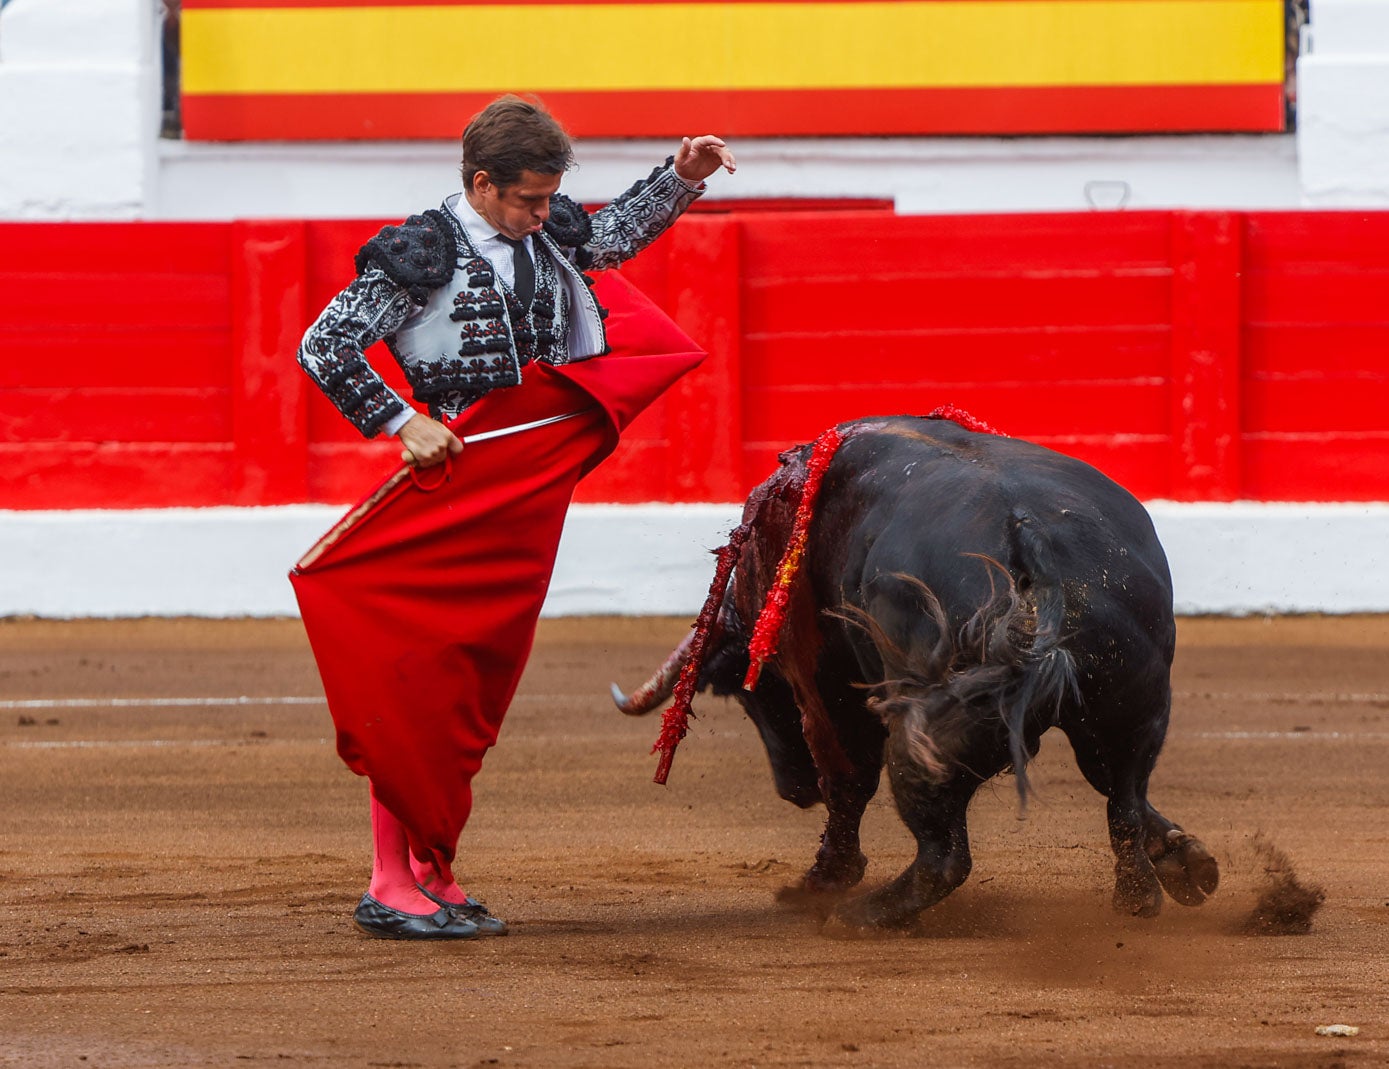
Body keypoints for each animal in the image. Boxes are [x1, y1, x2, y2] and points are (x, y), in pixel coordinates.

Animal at [619, 410, 1216, 927]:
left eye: (754, 690)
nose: (794, 790)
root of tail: (1029, 540)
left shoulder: (819, 683)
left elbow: (847, 778)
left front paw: (824, 880)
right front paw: (1186, 859)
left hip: (921, 730)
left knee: (944, 855)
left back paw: (859, 915)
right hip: (1132, 705)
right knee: (1122, 798)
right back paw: (1141, 895)